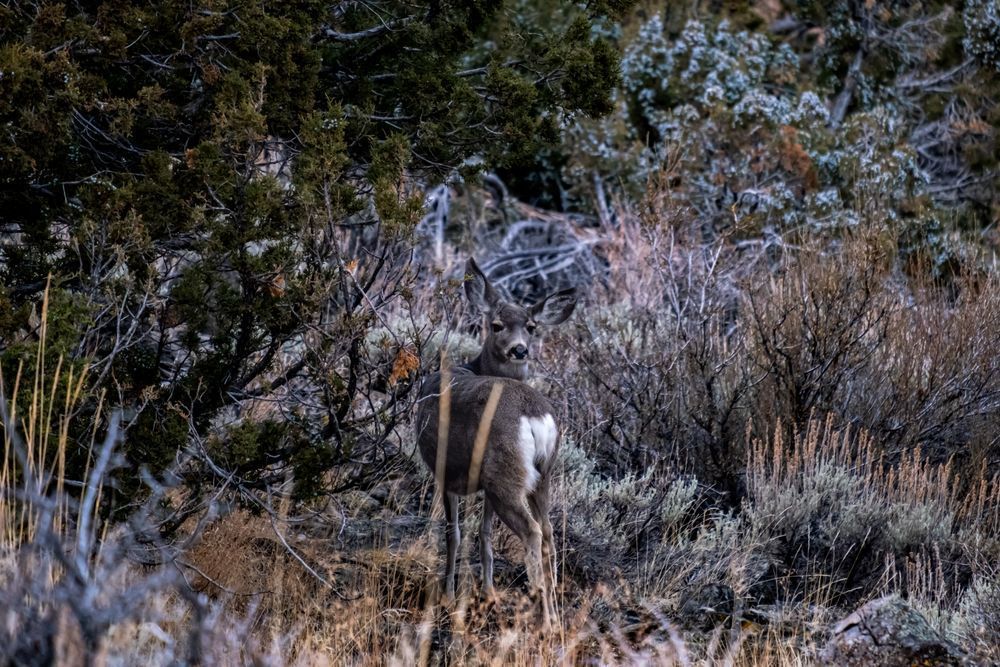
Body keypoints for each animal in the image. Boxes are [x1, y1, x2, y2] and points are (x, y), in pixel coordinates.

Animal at [415, 258, 577, 628]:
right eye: (497, 324)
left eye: (531, 326)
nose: (519, 349)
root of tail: (534, 416)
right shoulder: (484, 483)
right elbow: (485, 534)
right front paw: (488, 592)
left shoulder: (447, 471)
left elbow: (454, 532)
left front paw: (448, 596)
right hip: (537, 475)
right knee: (548, 532)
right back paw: (554, 616)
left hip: (505, 473)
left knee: (533, 532)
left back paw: (544, 619)